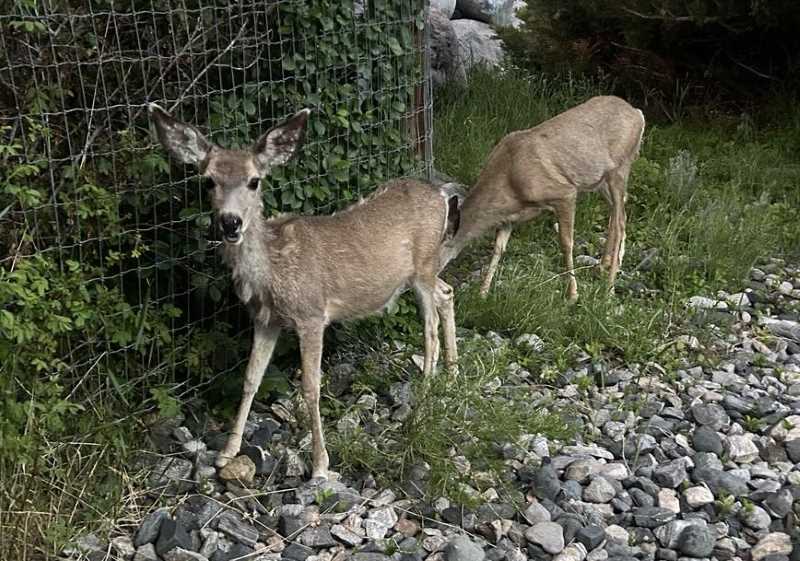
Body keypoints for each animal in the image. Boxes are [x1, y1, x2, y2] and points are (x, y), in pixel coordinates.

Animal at [149, 104, 460, 480]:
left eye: (254, 180)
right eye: (208, 180)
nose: (230, 222)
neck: (272, 272)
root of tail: (443, 194)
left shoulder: (311, 313)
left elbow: (311, 387)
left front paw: (320, 464)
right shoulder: (265, 319)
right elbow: (250, 378)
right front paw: (226, 453)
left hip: (423, 266)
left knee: (430, 324)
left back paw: (425, 395)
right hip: (424, 271)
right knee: (448, 293)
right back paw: (453, 375)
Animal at [440, 95, 645, 301]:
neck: (509, 180)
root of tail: (638, 114)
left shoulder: (565, 193)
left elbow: (566, 243)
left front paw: (573, 294)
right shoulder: (510, 217)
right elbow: (498, 248)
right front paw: (483, 292)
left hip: (620, 168)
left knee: (619, 222)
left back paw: (609, 288)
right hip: (600, 180)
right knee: (620, 212)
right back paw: (606, 265)